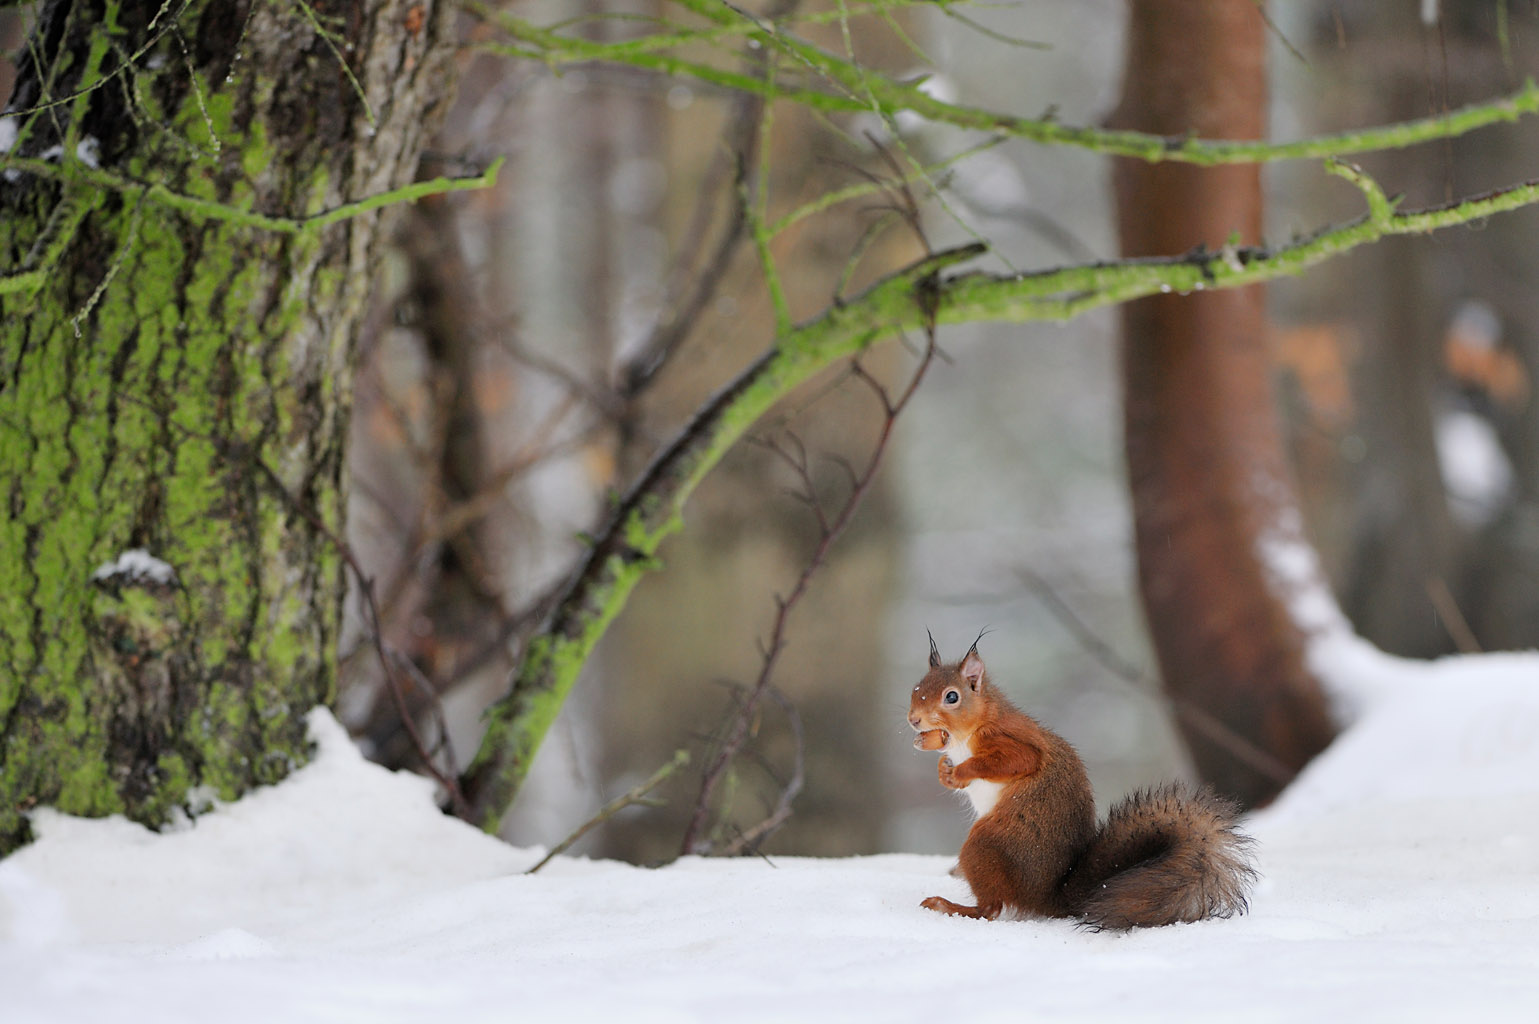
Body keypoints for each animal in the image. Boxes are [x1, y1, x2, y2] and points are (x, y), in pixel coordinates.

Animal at [908, 633, 1256, 929]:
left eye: (952, 697)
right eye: (916, 688)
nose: (913, 720)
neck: (965, 732)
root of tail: (1047, 899)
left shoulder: (1011, 741)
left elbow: (1014, 760)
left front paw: (959, 771)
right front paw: (943, 771)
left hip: (985, 845)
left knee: (990, 909)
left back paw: (948, 906)